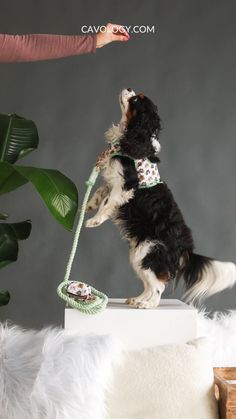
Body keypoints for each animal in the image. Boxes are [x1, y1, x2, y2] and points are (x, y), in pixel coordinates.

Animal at [85, 88, 235, 308]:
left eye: (136, 99)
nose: (128, 88)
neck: (135, 138)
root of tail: (185, 249)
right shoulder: (113, 181)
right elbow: (100, 193)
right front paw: (89, 205)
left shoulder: (124, 186)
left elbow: (107, 204)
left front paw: (94, 220)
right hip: (140, 255)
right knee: (150, 284)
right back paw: (138, 300)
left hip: (148, 251)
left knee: (158, 286)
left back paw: (147, 304)